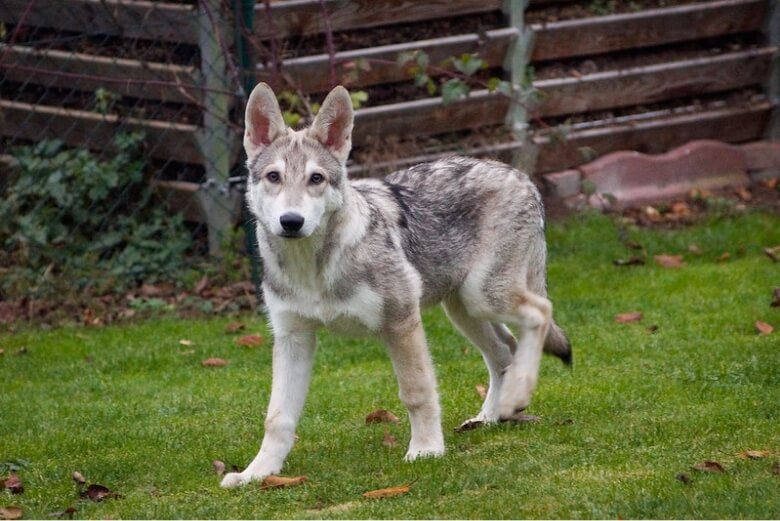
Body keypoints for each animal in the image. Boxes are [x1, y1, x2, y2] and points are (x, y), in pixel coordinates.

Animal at [216, 82, 568, 488]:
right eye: (273, 177)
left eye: (316, 179)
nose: (291, 221)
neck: (314, 269)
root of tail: (519, 175)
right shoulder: (293, 338)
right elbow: (277, 417)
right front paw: (257, 473)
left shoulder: (401, 322)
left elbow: (416, 392)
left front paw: (427, 450)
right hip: (464, 308)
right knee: (504, 350)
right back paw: (492, 416)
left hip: (485, 296)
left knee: (541, 313)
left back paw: (516, 396)